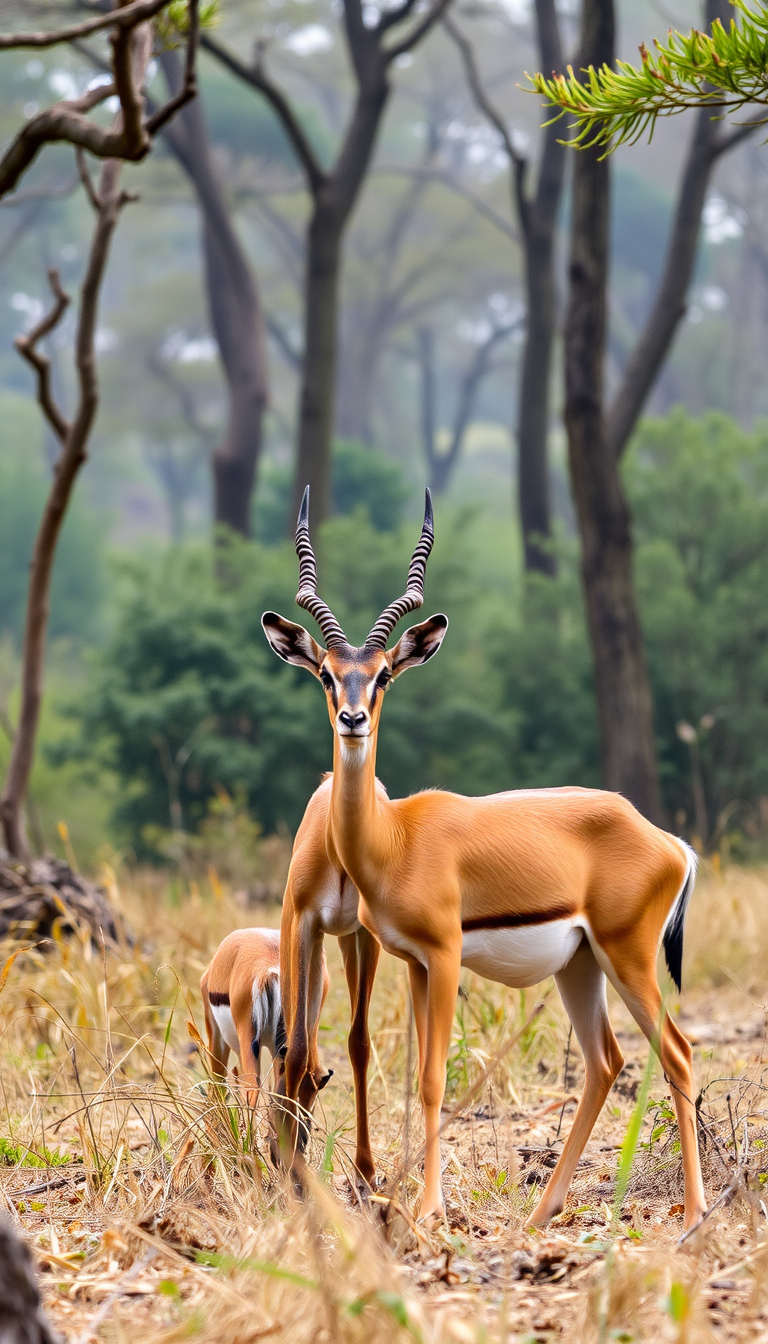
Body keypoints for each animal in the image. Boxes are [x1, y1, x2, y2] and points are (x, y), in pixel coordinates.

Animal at [261, 488, 708, 1231]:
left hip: (629, 958)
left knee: (676, 1052)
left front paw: (428, 1209)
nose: (353, 720)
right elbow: (415, 1074)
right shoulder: (413, 962)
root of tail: (667, 841)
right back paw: (542, 1212)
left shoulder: (444, 956)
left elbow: (436, 1077)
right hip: (582, 965)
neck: (395, 838)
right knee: (606, 1061)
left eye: (383, 676)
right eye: (327, 674)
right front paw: (401, 1197)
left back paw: (694, 1212)